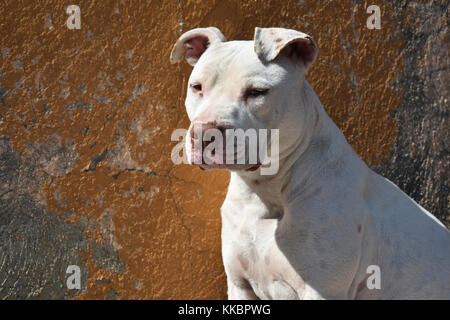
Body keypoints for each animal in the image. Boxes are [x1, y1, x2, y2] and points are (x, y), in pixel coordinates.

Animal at [170, 26, 450, 298]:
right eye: (197, 87)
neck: (266, 190)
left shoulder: (320, 291)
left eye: (257, 92)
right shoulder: (240, 285)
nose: (204, 133)